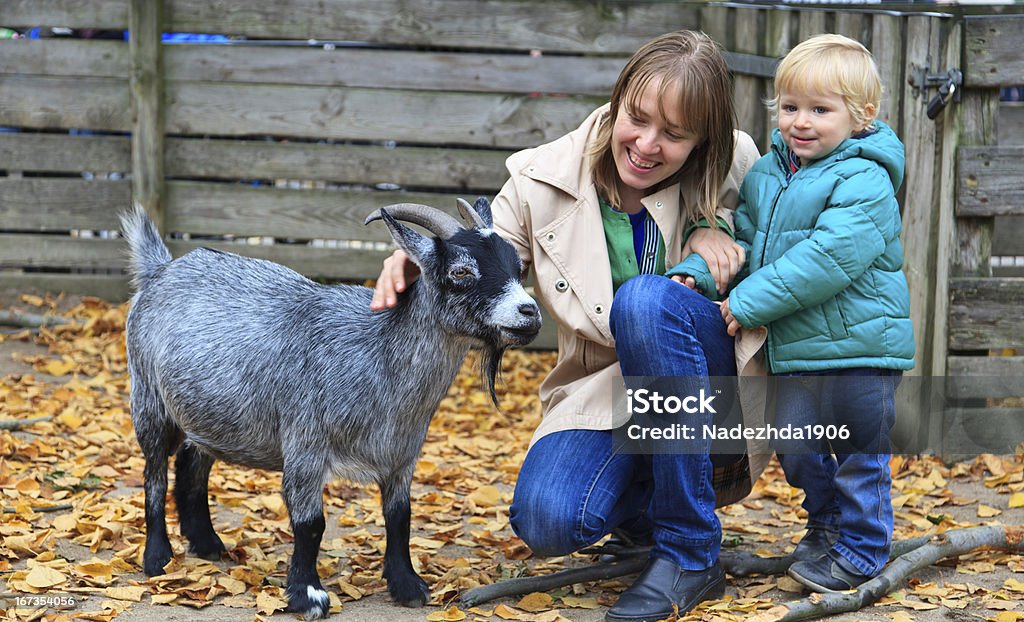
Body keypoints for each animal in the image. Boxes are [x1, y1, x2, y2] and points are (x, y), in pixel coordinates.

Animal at [121, 199, 544, 618]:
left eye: (518, 266)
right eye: (460, 271)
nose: (529, 312)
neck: (376, 355)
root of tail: (159, 269)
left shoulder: (402, 453)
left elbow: (400, 516)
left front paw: (407, 585)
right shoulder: (305, 445)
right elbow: (311, 523)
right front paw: (308, 595)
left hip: (210, 411)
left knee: (192, 464)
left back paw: (207, 543)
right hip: (148, 400)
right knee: (154, 474)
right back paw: (157, 558)